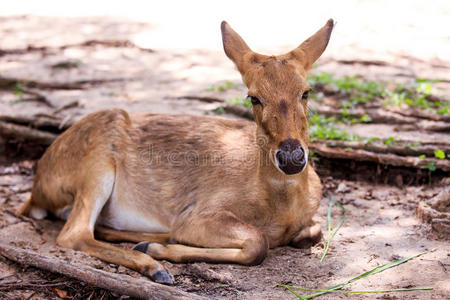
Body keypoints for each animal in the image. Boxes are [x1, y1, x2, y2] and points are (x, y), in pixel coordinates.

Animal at [17, 19, 334, 284]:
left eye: (306, 91)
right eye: (253, 97)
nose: (291, 157)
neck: (280, 209)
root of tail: (36, 191)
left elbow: (312, 231)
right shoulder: (199, 212)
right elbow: (258, 243)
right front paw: (162, 252)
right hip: (96, 160)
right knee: (74, 233)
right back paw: (154, 264)